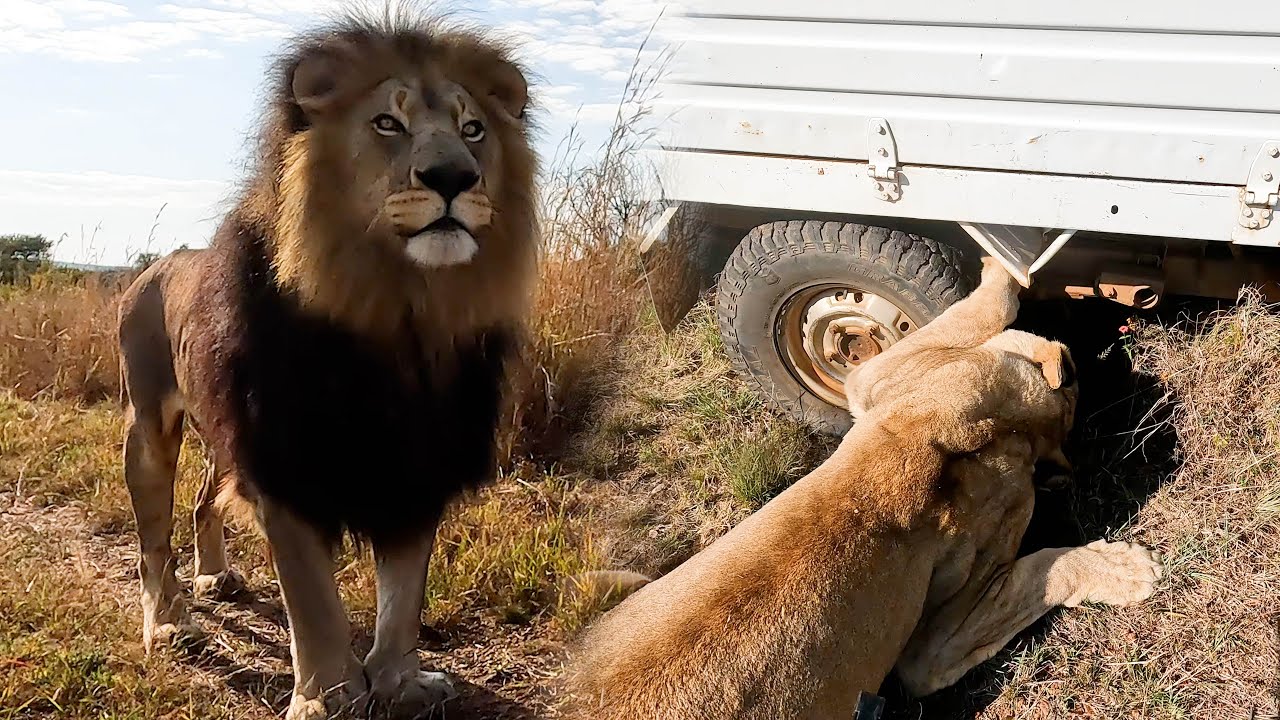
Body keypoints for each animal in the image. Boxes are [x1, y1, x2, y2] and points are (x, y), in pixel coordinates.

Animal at [116, 10, 536, 720]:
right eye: (387, 123)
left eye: (473, 129)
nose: (456, 177)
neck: (399, 316)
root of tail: (153, 266)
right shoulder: (285, 462)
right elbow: (312, 601)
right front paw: (326, 698)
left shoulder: (418, 464)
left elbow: (404, 596)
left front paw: (399, 681)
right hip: (150, 425)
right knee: (152, 540)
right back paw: (168, 621)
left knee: (203, 501)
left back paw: (216, 576)